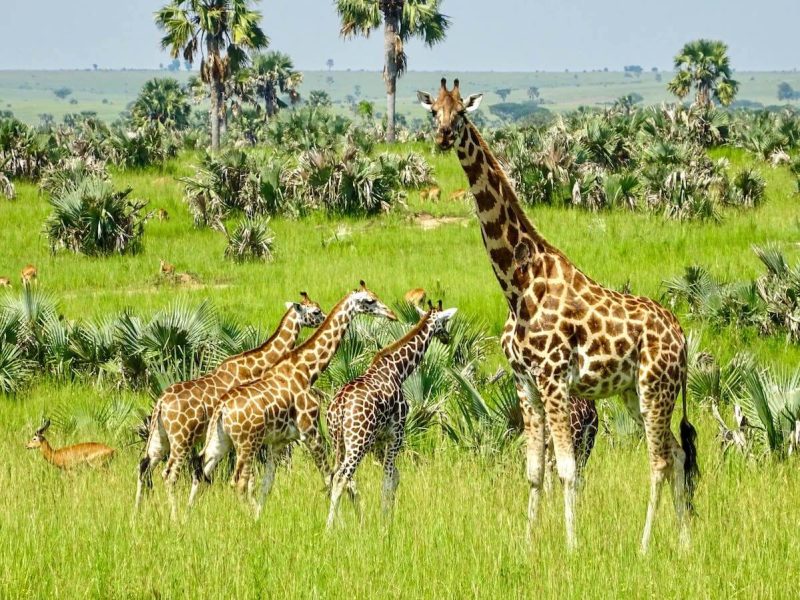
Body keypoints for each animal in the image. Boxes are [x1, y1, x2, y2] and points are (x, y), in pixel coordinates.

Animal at [135, 292, 326, 518]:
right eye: (316, 311)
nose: (324, 318)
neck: (254, 365)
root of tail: (161, 404)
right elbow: (247, 476)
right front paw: (252, 507)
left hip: (160, 436)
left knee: (144, 465)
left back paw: (136, 515)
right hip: (182, 438)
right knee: (168, 473)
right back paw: (174, 516)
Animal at [199, 282, 397, 518]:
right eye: (369, 300)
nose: (392, 314)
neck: (306, 370)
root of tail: (221, 408)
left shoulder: (279, 441)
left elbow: (268, 483)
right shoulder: (310, 431)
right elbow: (330, 477)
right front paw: (341, 520)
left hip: (220, 441)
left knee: (202, 472)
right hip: (246, 444)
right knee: (238, 482)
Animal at [326, 300, 457, 529]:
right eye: (445, 321)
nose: (447, 337)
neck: (398, 369)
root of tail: (339, 406)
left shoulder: (378, 440)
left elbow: (395, 476)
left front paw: (386, 518)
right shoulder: (396, 433)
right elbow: (387, 480)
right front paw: (385, 523)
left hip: (338, 441)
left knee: (337, 477)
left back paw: (343, 524)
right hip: (358, 442)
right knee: (342, 478)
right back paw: (329, 528)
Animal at [418, 78, 699, 551]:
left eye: (462, 113)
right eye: (434, 111)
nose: (441, 137)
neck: (517, 284)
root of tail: (682, 337)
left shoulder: (553, 379)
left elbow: (565, 469)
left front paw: (572, 546)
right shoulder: (526, 384)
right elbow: (534, 471)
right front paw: (528, 544)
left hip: (654, 388)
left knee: (660, 460)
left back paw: (644, 546)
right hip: (633, 392)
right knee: (678, 455)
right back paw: (682, 542)